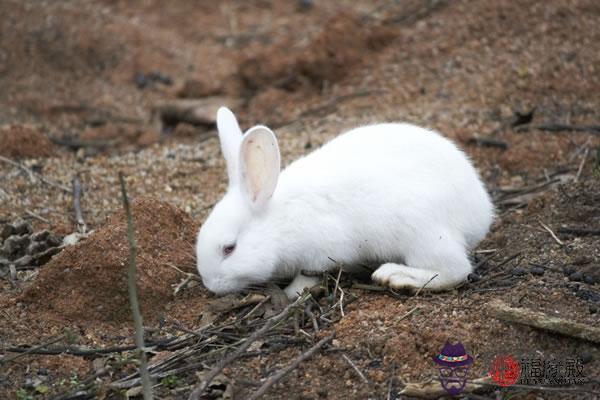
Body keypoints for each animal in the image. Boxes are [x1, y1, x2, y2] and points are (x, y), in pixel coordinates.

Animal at [196, 108, 492, 298]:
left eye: (229, 249)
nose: (210, 285)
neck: (279, 221)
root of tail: (481, 212)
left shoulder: (319, 253)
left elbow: (309, 275)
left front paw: (291, 292)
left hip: (422, 233)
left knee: (455, 270)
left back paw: (396, 276)